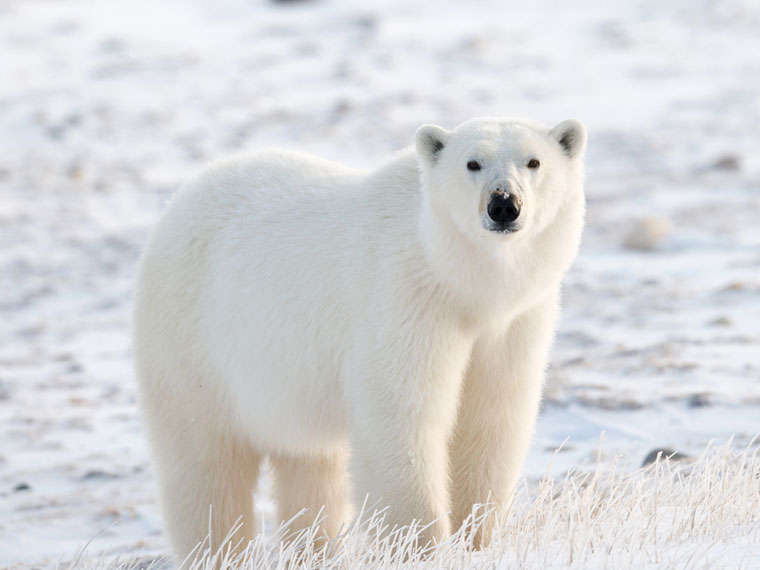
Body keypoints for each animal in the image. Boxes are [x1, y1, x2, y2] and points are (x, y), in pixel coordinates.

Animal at [133, 116, 587, 560]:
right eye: (472, 163)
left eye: (534, 162)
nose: (504, 204)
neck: (459, 282)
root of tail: (180, 199)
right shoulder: (403, 299)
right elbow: (402, 416)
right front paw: (420, 547)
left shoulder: (512, 323)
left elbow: (490, 418)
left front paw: (476, 539)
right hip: (193, 345)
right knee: (206, 467)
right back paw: (219, 551)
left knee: (309, 468)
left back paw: (315, 552)